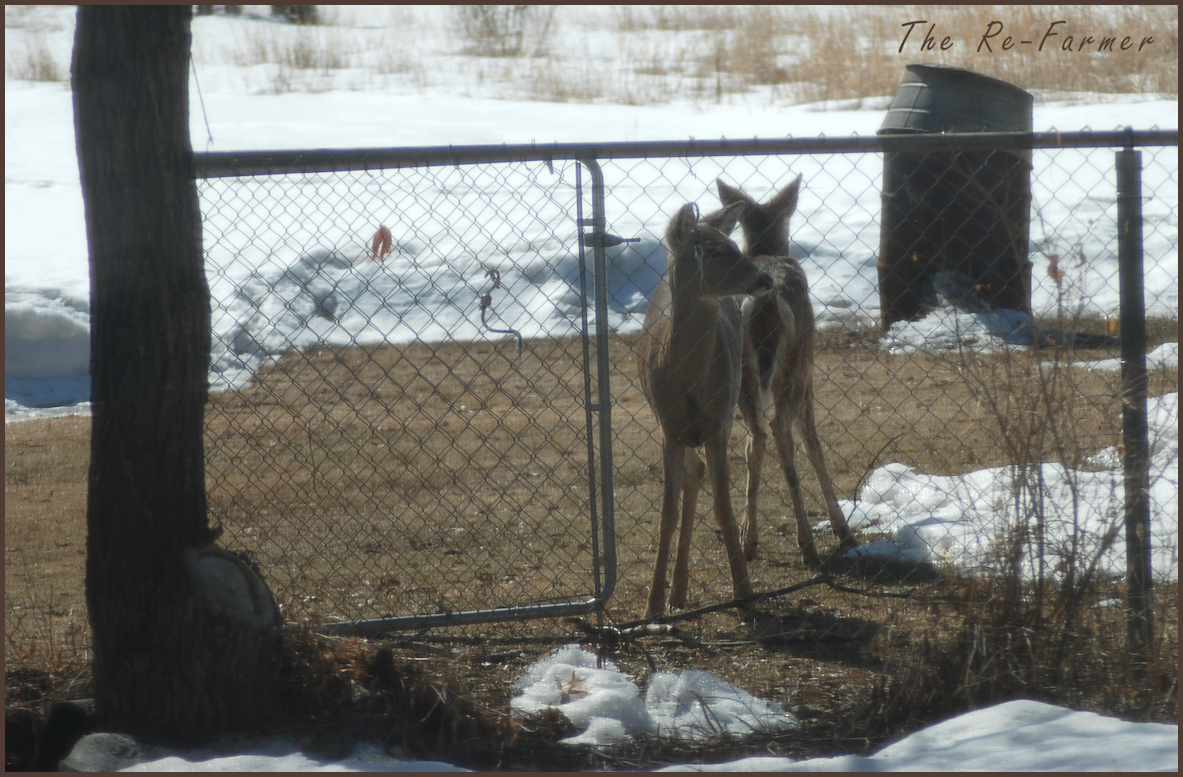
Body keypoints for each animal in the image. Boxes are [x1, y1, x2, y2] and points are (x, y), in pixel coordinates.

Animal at [636, 202, 775, 618]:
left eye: (735, 244)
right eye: (710, 251)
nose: (764, 279)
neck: (687, 383)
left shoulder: (718, 423)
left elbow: (723, 508)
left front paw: (744, 595)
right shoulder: (668, 428)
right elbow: (667, 513)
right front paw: (652, 606)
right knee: (692, 474)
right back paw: (677, 594)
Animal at [715, 175, 859, 566]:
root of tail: (764, 300)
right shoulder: (809, 374)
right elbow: (814, 443)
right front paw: (842, 529)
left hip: (742, 374)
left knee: (755, 436)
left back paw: (748, 541)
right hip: (793, 367)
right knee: (782, 432)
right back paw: (806, 543)